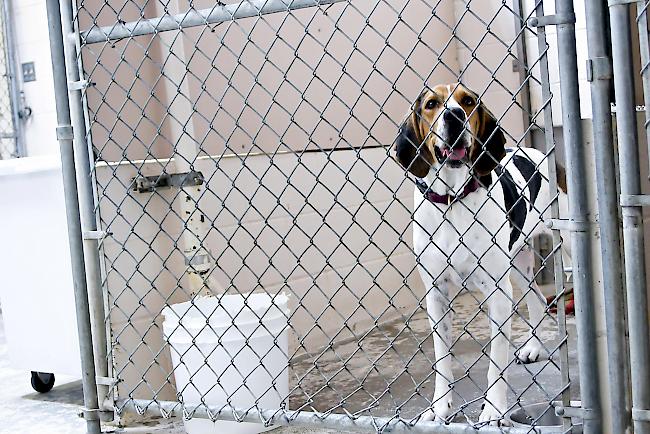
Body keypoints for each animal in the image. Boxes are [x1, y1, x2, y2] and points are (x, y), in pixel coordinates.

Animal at [392, 83, 564, 426]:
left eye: (468, 101)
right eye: (432, 104)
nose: (454, 116)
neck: (453, 199)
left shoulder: (497, 292)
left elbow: (496, 363)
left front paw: (494, 411)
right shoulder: (437, 294)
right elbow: (442, 360)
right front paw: (439, 408)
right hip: (518, 264)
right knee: (538, 300)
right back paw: (534, 348)